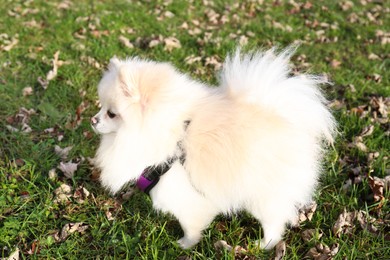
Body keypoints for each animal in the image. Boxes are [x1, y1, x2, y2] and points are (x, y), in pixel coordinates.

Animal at [91, 47, 336, 250]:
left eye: (111, 113)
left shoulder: (180, 191)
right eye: (101, 107)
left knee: (274, 224)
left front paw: (185, 244)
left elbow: (190, 225)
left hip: (262, 194)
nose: (93, 120)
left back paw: (263, 245)